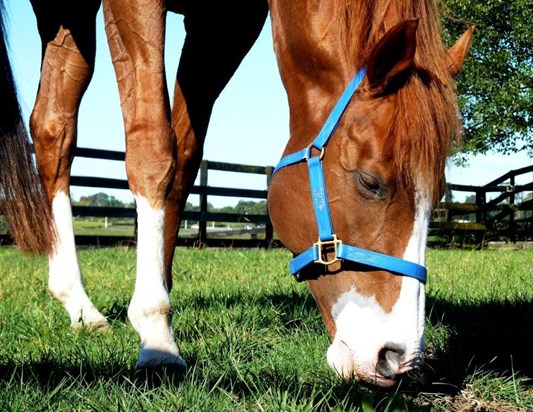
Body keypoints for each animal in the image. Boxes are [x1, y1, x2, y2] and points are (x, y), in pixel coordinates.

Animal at [1, 0, 474, 386]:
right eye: (370, 181)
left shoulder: (226, 23)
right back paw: (78, 301)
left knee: (53, 128)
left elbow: (184, 157)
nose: (399, 359)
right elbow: (153, 147)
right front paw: (156, 335)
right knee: (54, 132)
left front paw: (160, 299)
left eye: (438, 195)